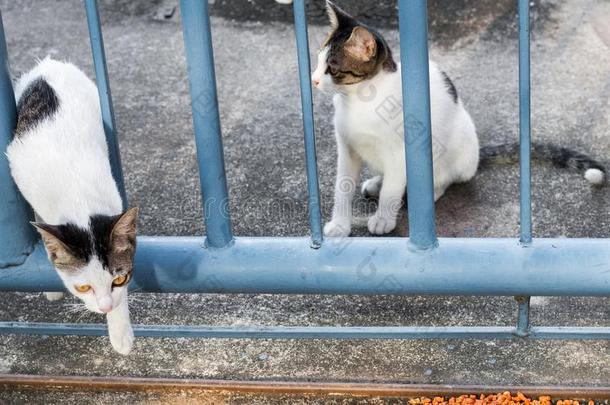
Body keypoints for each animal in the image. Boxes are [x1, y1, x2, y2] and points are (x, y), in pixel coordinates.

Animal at [5, 56, 139, 354]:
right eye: (83, 288)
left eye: (118, 280)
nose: (105, 308)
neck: (81, 202)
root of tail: (50, 63)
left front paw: (120, 332)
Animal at [314, 0, 604, 237]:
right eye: (318, 61)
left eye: (333, 69)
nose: (314, 79)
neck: (358, 101)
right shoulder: (347, 149)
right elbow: (342, 188)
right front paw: (340, 225)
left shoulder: (399, 151)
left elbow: (392, 190)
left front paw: (384, 219)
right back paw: (376, 182)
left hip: (454, 149)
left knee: (441, 179)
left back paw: (423, 192)